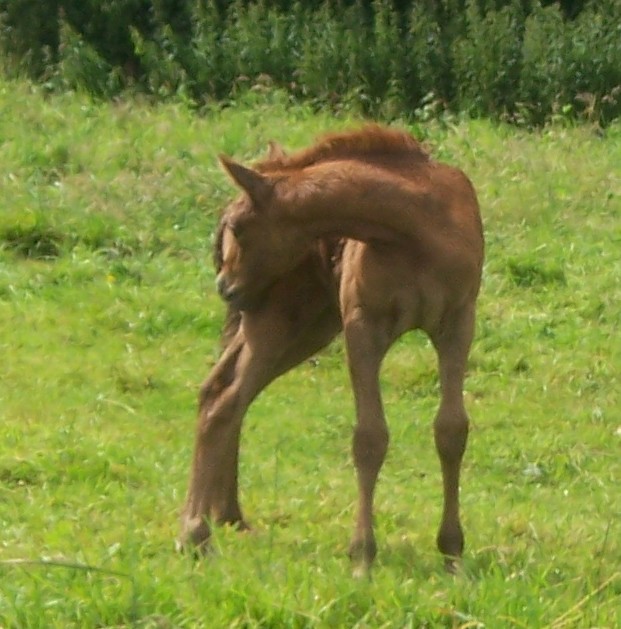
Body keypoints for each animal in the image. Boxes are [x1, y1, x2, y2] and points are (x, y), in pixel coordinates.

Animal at [180, 124, 484, 576]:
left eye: (238, 225)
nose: (224, 285)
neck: (416, 232)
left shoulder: (457, 325)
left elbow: (451, 430)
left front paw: (452, 553)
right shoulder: (363, 325)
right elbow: (370, 437)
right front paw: (362, 555)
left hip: (305, 326)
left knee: (220, 391)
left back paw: (228, 516)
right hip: (276, 320)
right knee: (225, 401)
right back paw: (195, 534)